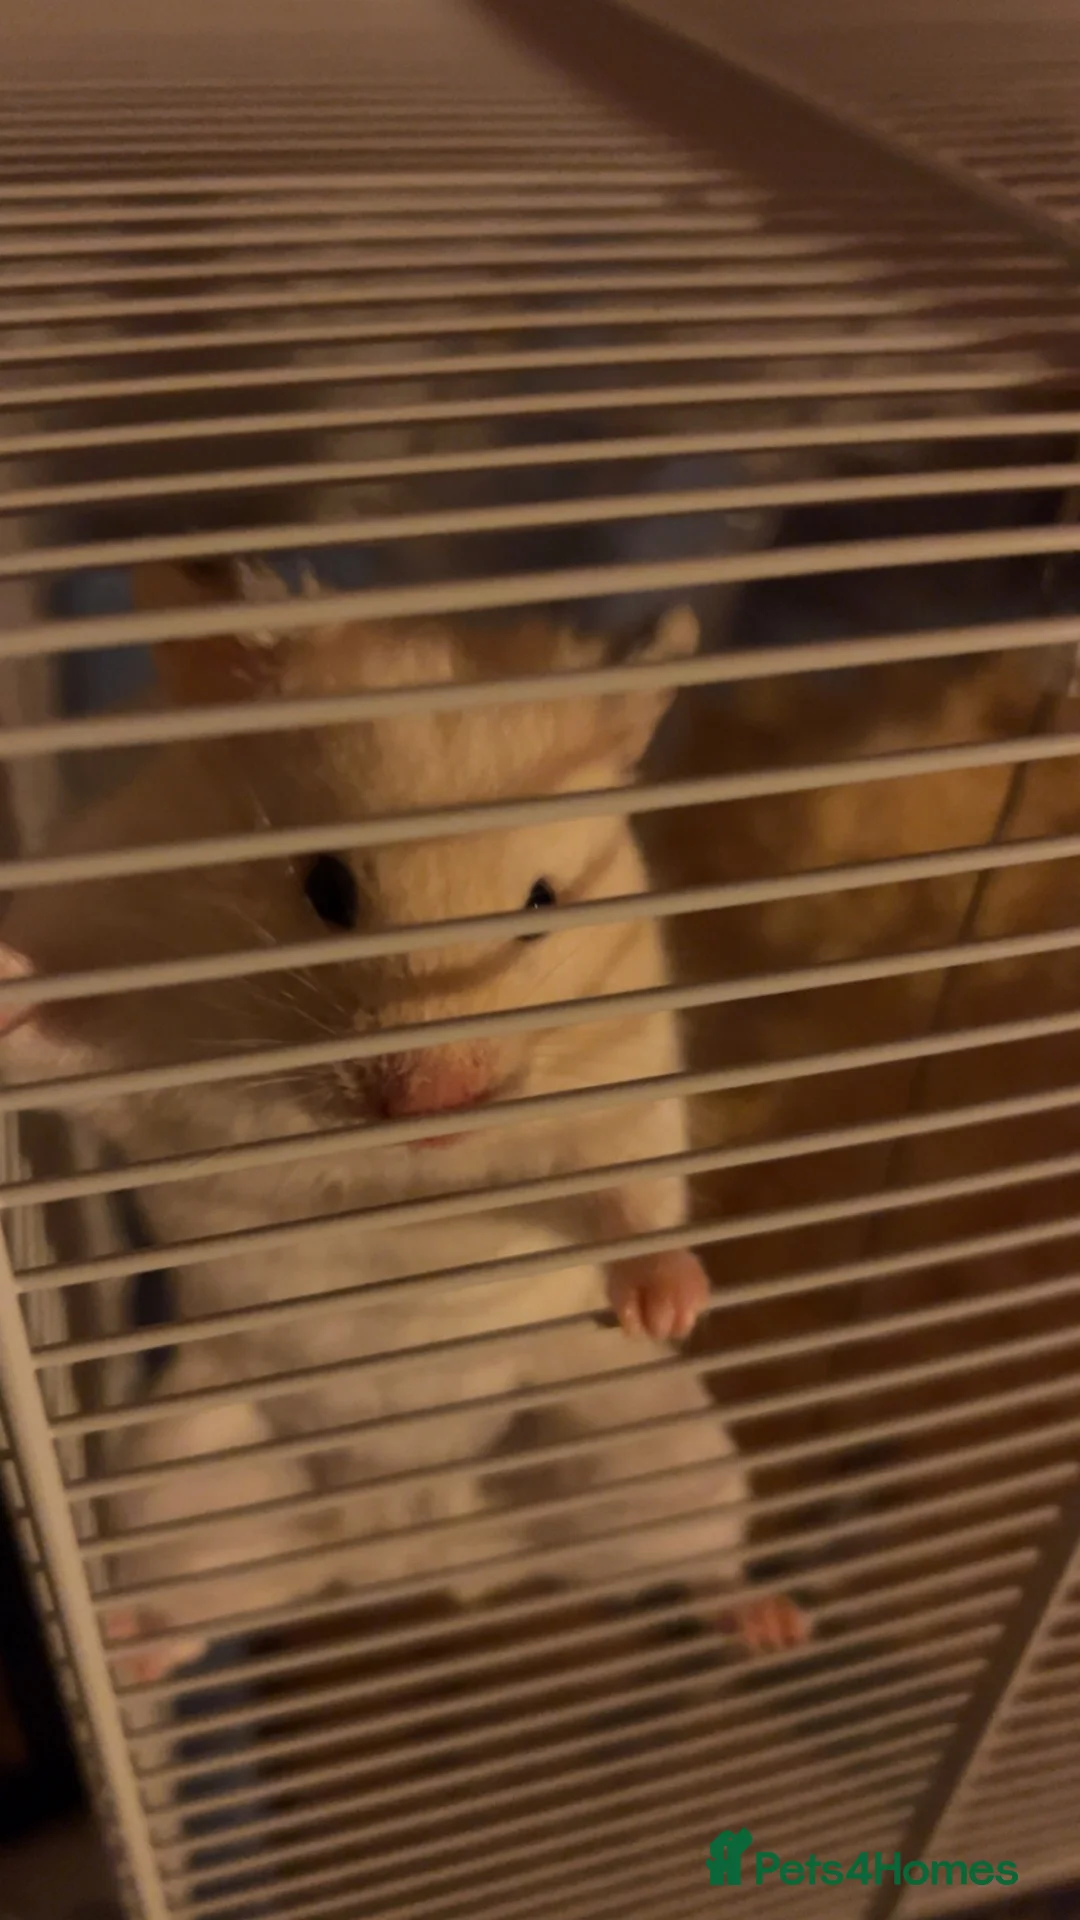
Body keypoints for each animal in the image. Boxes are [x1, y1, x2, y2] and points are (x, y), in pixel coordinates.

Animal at [0, 563, 807, 1680]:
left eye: (541, 905)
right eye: (326, 887)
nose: (432, 1111)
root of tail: (418, 1539)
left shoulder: (623, 1079)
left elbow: (627, 1194)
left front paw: (670, 1308)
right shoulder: (130, 995)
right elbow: (51, 1024)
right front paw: (2, 977)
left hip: (651, 1452)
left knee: (697, 1562)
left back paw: (777, 1622)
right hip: (182, 1476)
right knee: (190, 1606)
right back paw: (122, 1653)